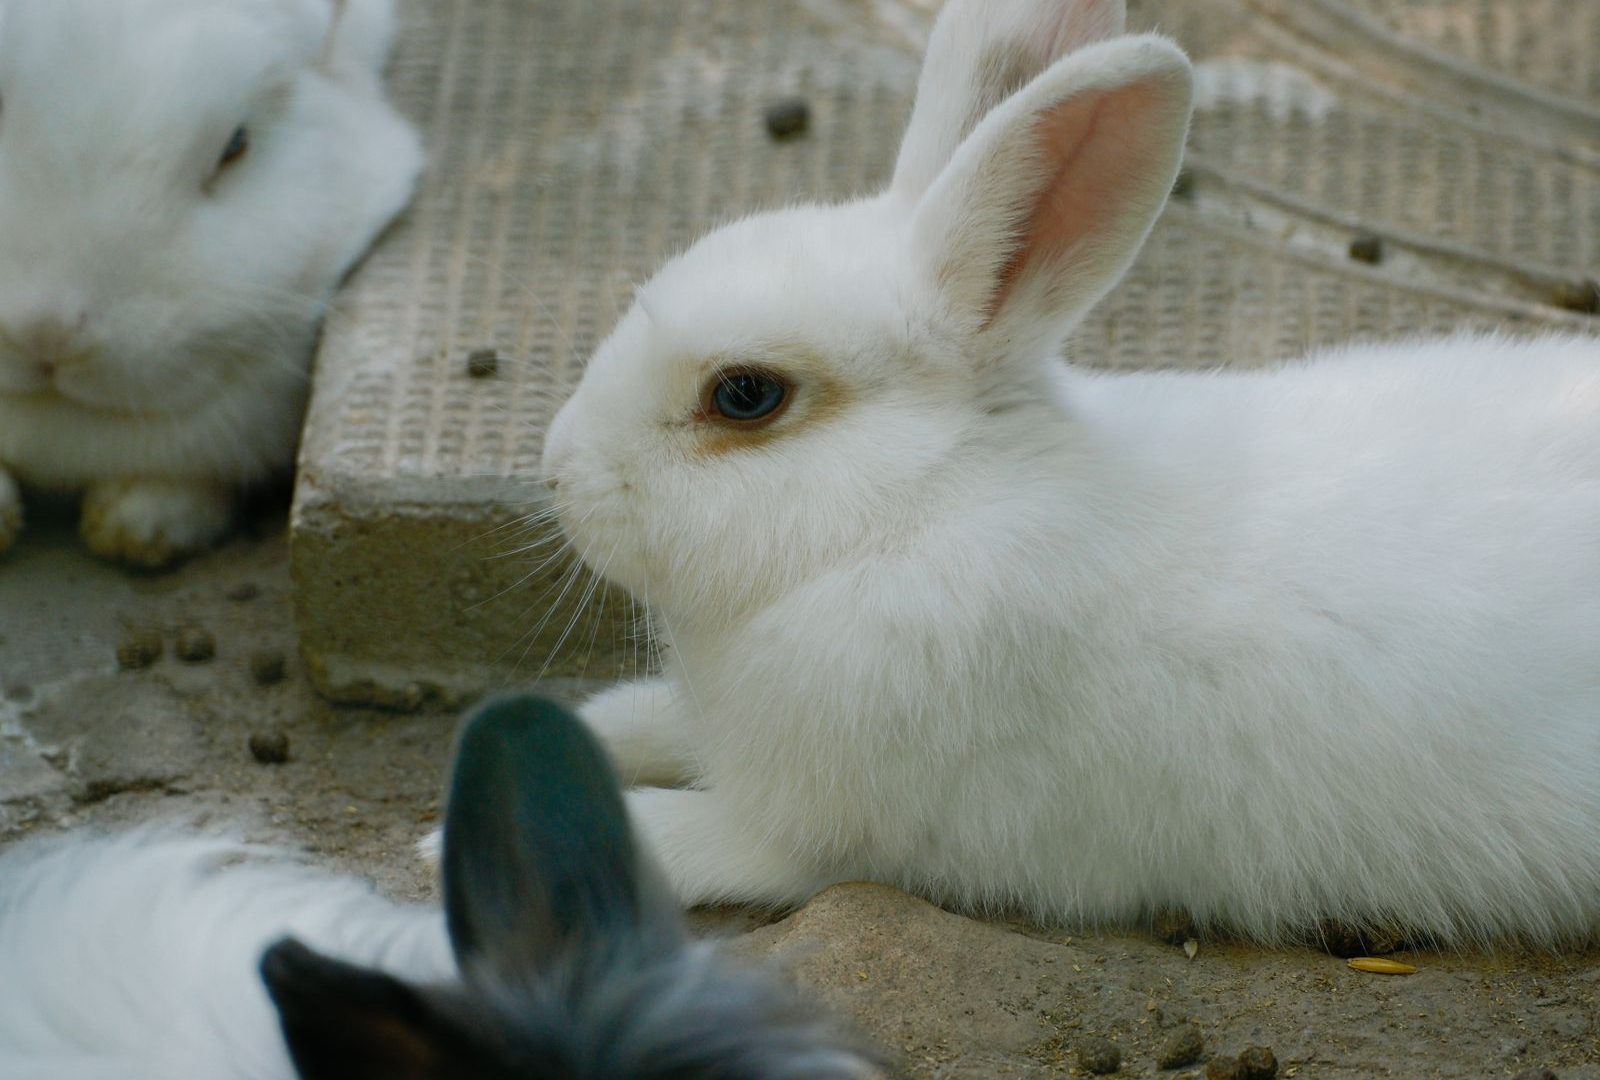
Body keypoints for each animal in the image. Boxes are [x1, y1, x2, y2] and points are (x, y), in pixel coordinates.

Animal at [535, 0, 1600, 947]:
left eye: (746, 395)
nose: (555, 472)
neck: (922, 507)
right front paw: (598, 721)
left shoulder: (827, 831)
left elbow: (707, 842)